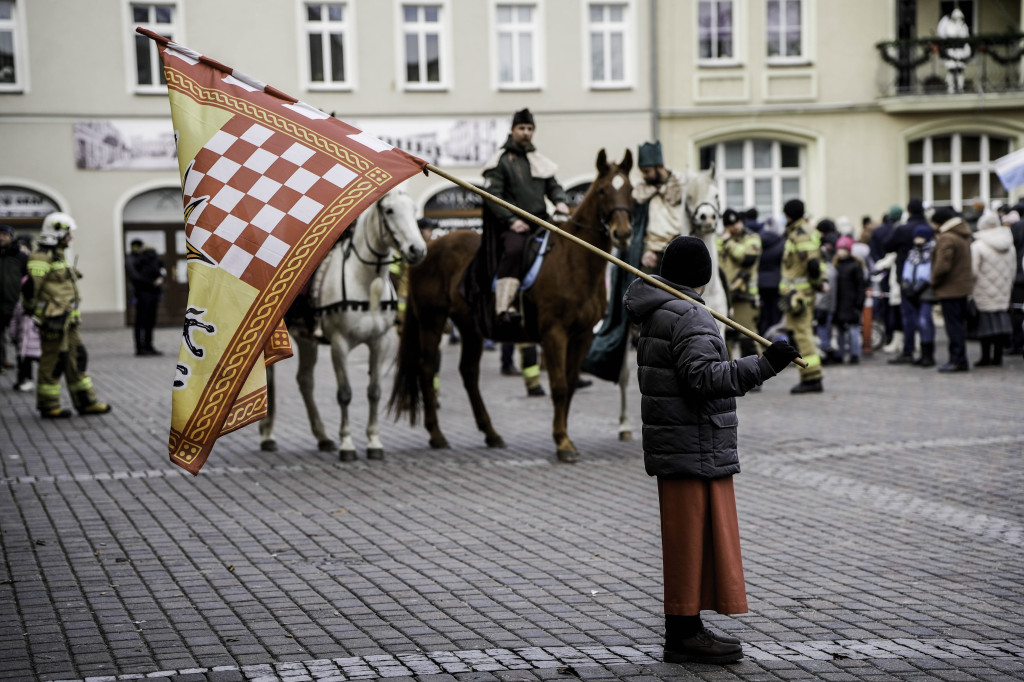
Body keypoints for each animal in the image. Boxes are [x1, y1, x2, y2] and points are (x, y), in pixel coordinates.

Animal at [264, 188, 428, 458]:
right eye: (389, 210)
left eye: (414, 209)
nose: (418, 250)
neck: (365, 281)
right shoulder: (340, 344)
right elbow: (345, 394)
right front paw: (347, 444)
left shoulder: (381, 342)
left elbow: (374, 392)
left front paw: (374, 442)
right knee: (270, 378)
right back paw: (267, 435)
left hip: (306, 338)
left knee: (305, 381)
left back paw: (322, 437)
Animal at [389, 146, 630, 458]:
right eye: (601, 190)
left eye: (630, 189)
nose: (622, 233)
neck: (573, 260)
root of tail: (428, 247)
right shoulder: (554, 333)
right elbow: (559, 386)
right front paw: (562, 442)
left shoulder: (583, 335)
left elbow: (570, 385)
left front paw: (565, 437)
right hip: (432, 321)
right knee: (427, 370)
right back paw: (437, 434)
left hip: (470, 327)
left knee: (469, 373)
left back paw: (490, 432)